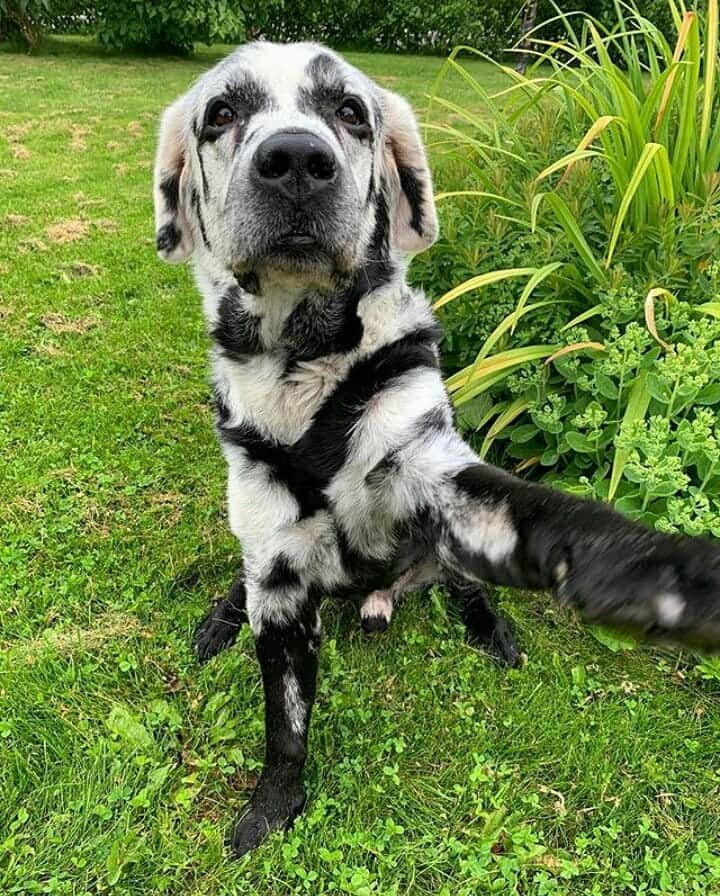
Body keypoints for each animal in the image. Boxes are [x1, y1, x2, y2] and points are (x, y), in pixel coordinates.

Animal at [152, 42, 720, 856]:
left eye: (350, 111)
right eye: (222, 113)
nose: (295, 161)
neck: (306, 363)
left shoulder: (432, 470)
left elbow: (551, 518)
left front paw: (654, 571)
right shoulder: (279, 576)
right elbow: (285, 726)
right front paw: (273, 807)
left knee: (462, 581)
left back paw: (488, 627)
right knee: (247, 576)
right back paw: (222, 617)